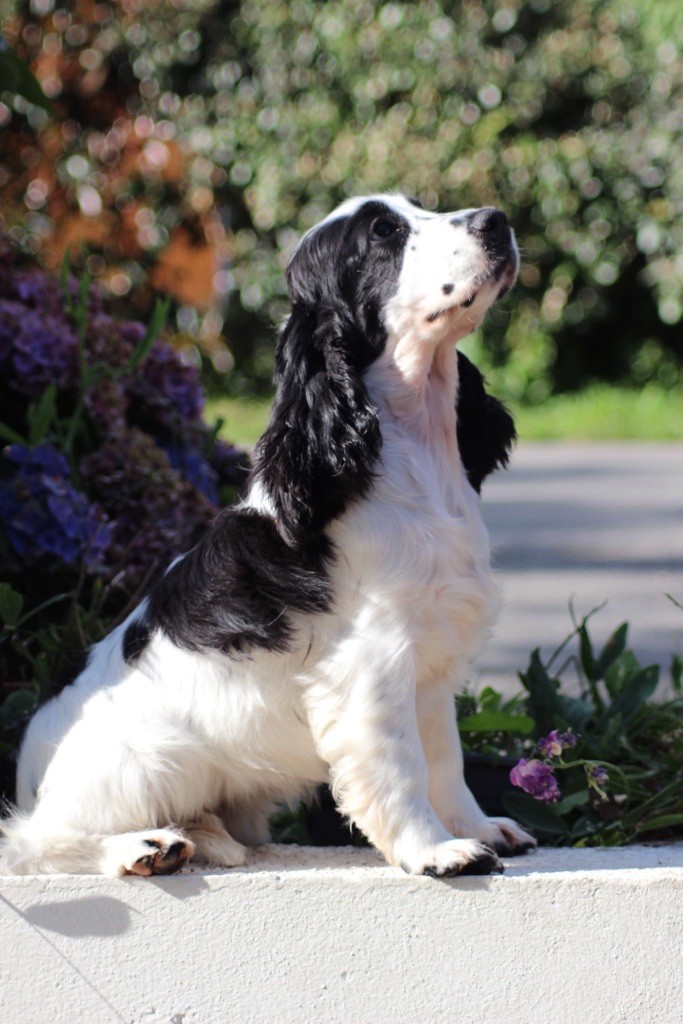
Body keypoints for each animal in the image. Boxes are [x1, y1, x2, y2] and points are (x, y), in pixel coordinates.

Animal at [0, 197, 536, 880]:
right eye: (383, 232)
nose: (497, 221)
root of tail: (28, 769)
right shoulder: (374, 662)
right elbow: (402, 764)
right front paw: (436, 851)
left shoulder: (432, 657)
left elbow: (446, 759)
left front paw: (480, 829)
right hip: (150, 757)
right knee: (33, 841)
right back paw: (143, 848)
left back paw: (196, 838)